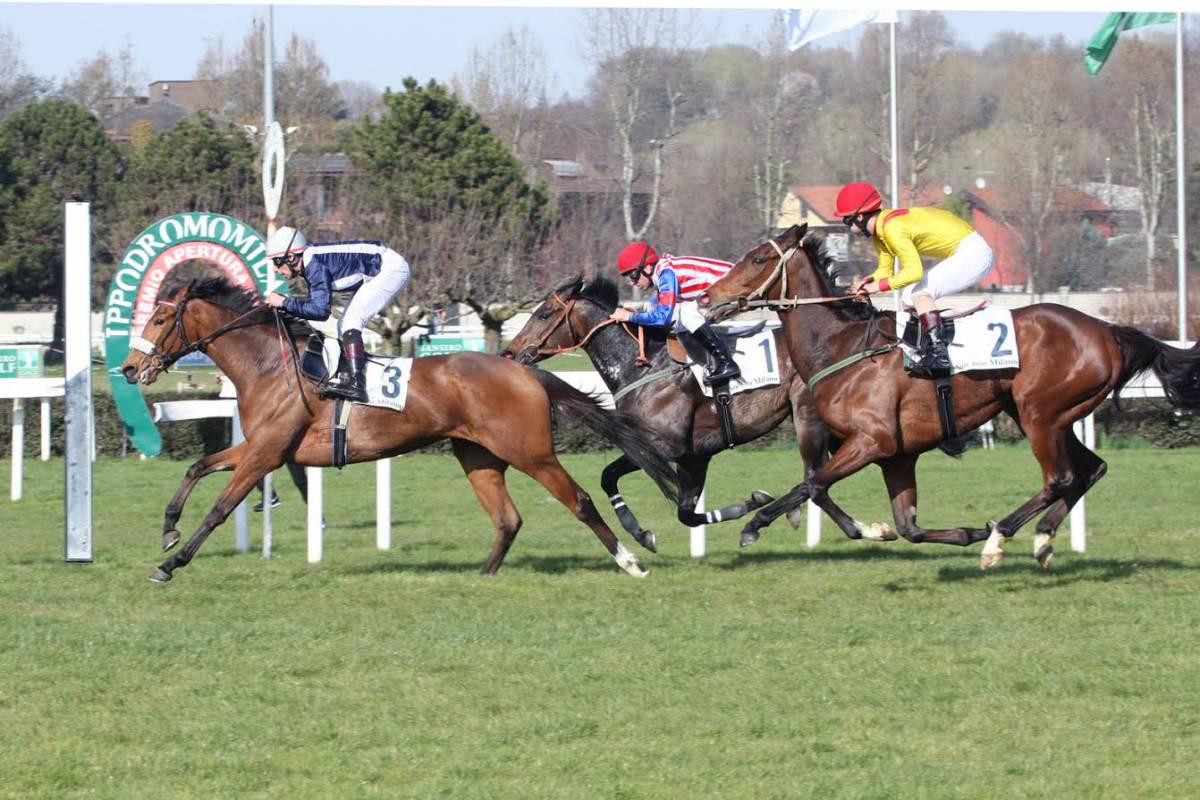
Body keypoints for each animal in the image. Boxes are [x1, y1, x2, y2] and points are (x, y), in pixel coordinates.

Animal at [123, 277, 686, 582]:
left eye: (159, 319)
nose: (130, 369)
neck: (270, 364)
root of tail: (523, 369)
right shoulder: (261, 447)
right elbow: (199, 466)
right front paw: (169, 529)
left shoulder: (267, 452)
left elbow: (220, 507)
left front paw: (170, 564)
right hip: (477, 455)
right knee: (507, 519)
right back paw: (483, 576)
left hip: (531, 453)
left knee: (580, 501)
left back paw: (631, 559)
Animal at [501, 277, 902, 551]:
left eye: (544, 313)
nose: (509, 353)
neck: (643, 366)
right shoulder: (694, 456)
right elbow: (686, 513)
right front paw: (749, 503)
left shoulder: (665, 446)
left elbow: (608, 476)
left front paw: (640, 532)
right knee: (824, 477)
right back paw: (860, 525)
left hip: (808, 418)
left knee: (816, 478)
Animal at [700, 225, 1200, 568]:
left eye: (757, 259)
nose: (707, 298)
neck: (844, 346)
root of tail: (1106, 329)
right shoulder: (896, 455)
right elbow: (907, 526)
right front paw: (950, 531)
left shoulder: (872, 442)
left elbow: (810, 484)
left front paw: (754, 524)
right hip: (1048, 415)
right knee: (1090, 469)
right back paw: (1041, 538)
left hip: (1040, 414)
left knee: (1059, 478)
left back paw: (1002, 538)